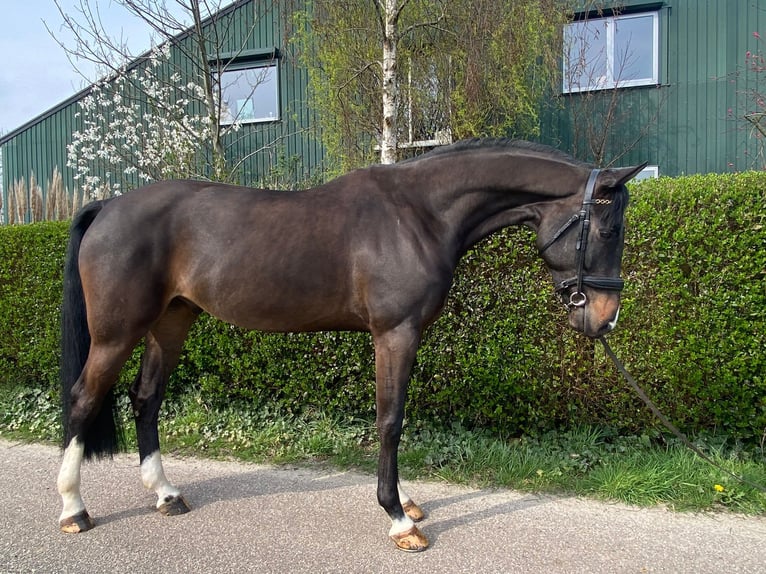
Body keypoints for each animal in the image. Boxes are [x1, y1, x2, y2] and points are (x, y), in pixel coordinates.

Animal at [57, 139, 645, 551]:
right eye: (609, 230)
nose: (606, 319)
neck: (419, 214)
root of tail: (108, 205)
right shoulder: (395, 334)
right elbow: (391, 420)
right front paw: (399, 519)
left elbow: (394, 417)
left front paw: (406, 501)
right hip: (116, 333)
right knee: (84, 400)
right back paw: (73, 509)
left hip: (172, 322)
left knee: (145, 399)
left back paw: (165, 494)